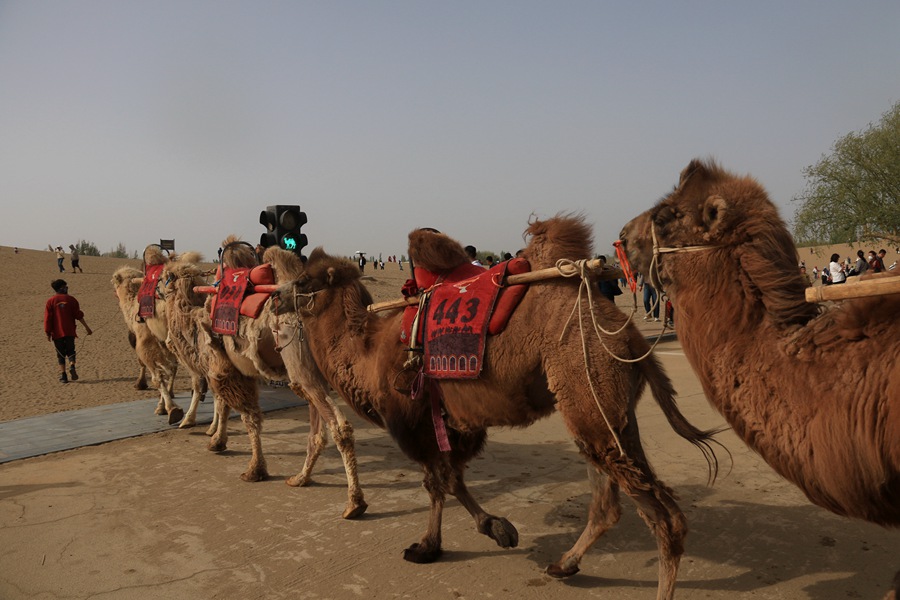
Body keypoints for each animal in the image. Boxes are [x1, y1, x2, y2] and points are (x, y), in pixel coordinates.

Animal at [278, 213, 720, 596]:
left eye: (303, 280)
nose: (276, 298)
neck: (367, 353)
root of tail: (630, 335)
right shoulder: (455, 422)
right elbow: (452, 479)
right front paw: (497, 528)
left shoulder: (412, 419)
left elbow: (436, 482)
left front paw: (427, 546)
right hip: (606, 411)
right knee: (608, 497)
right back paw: (564, 564)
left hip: (589, 384)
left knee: (664, 517)